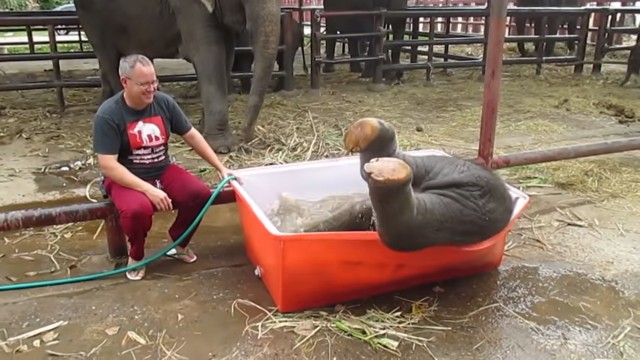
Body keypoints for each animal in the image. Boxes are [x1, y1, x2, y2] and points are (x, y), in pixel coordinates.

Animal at [72, 0, 280, 153]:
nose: (245, 141)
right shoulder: (187, 6)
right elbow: (209, 54)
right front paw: (222, 147)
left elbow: (226, 56)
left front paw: (202, 129)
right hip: (92, 19)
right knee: (108, 57)